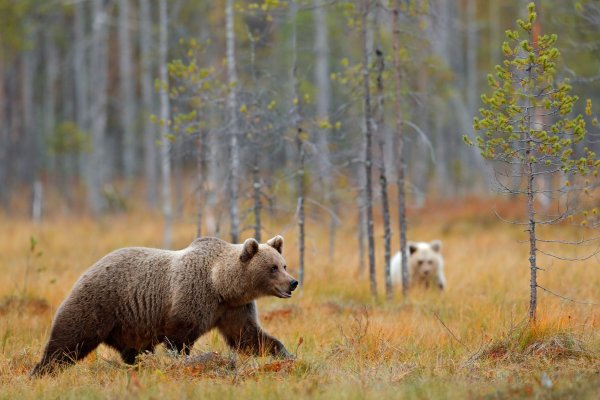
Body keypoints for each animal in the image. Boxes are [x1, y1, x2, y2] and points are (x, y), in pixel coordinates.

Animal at [30, 234, 298, 376]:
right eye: (272, 268)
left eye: (283, 264)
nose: (293, 282)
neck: (221, 286)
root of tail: (89, 268)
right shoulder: (191, 298)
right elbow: (178, 340)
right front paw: (183, 363)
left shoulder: (232, 310)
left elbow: (249, 337)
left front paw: (286, 354)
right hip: (98, 304)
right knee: (68, 340)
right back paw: (41, 370)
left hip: (129, 326)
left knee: (133, 351)